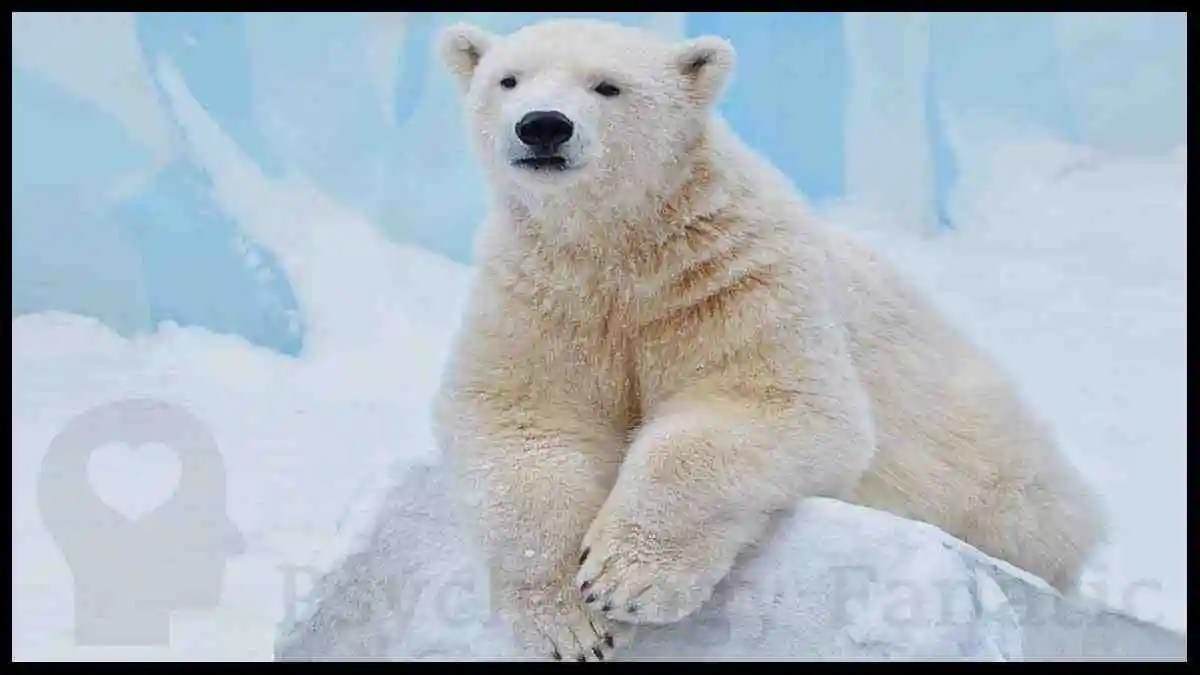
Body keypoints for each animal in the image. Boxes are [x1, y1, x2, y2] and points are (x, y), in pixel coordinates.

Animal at [432, 18, 1106, 662]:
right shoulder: (546, 301)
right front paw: (572, 626)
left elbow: (765, 405)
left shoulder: (733, 279)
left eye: (607, 85)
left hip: (999, 463)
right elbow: (525, 426)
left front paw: (624, 580)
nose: (543, 127)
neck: (622, 248)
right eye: (509, 79)